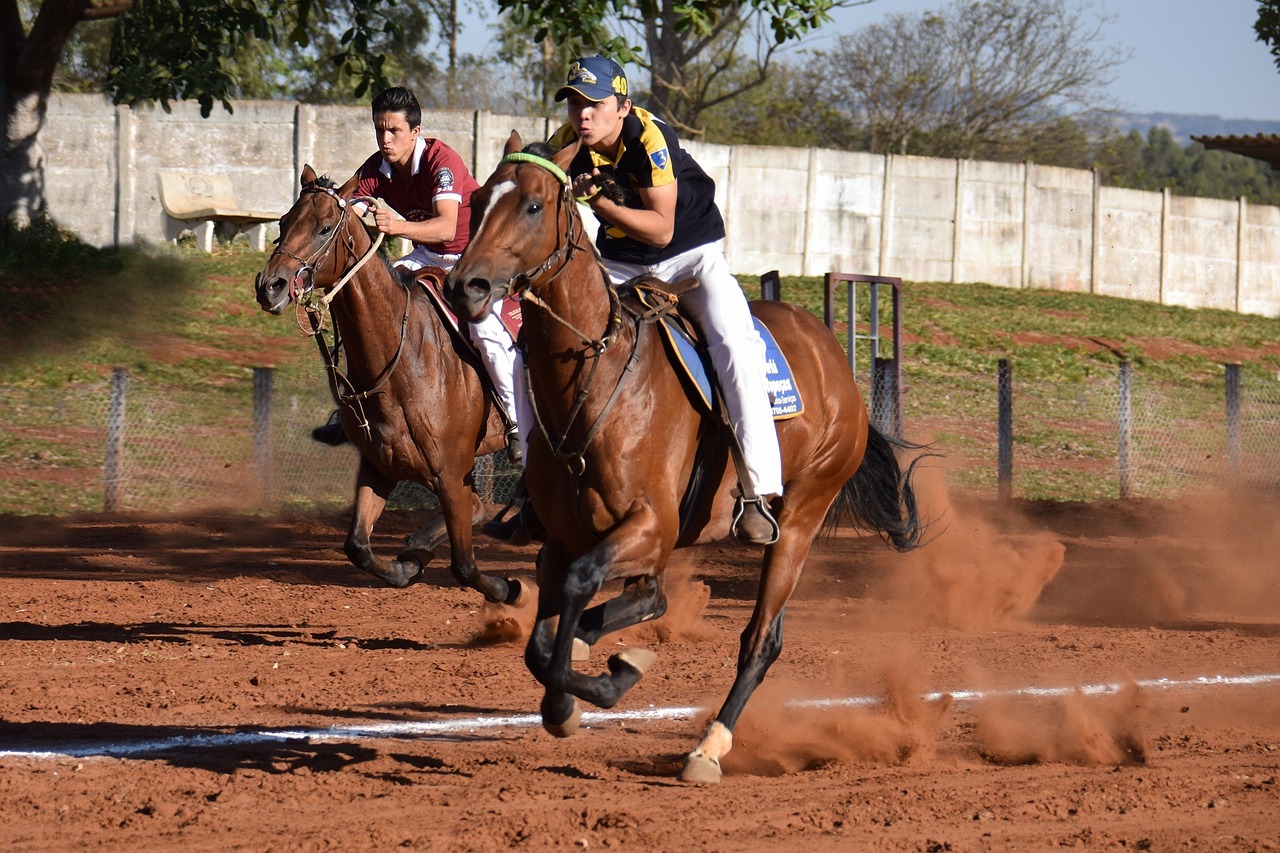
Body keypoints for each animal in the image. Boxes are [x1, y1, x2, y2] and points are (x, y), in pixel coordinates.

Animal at [254, 165, 523, 606]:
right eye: (282, 223)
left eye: (325, 228)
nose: (269, 285)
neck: (404, 363)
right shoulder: (379, 466)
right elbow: (358, 547)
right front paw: (407, 562)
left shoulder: (451, 475)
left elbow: (465, 565)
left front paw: (507, 586)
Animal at [444, 133, 928, 784]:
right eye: (476, 200)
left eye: (533, 205)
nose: (465, 286)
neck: (597, 378)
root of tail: (837, 362)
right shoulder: (564, 539)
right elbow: (546, 640)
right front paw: (579, 681)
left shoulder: (651, 524)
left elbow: (583, 593)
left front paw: (599, 685)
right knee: (652, 603)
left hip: (802, 516)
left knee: (760, 638)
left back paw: (709, 746)